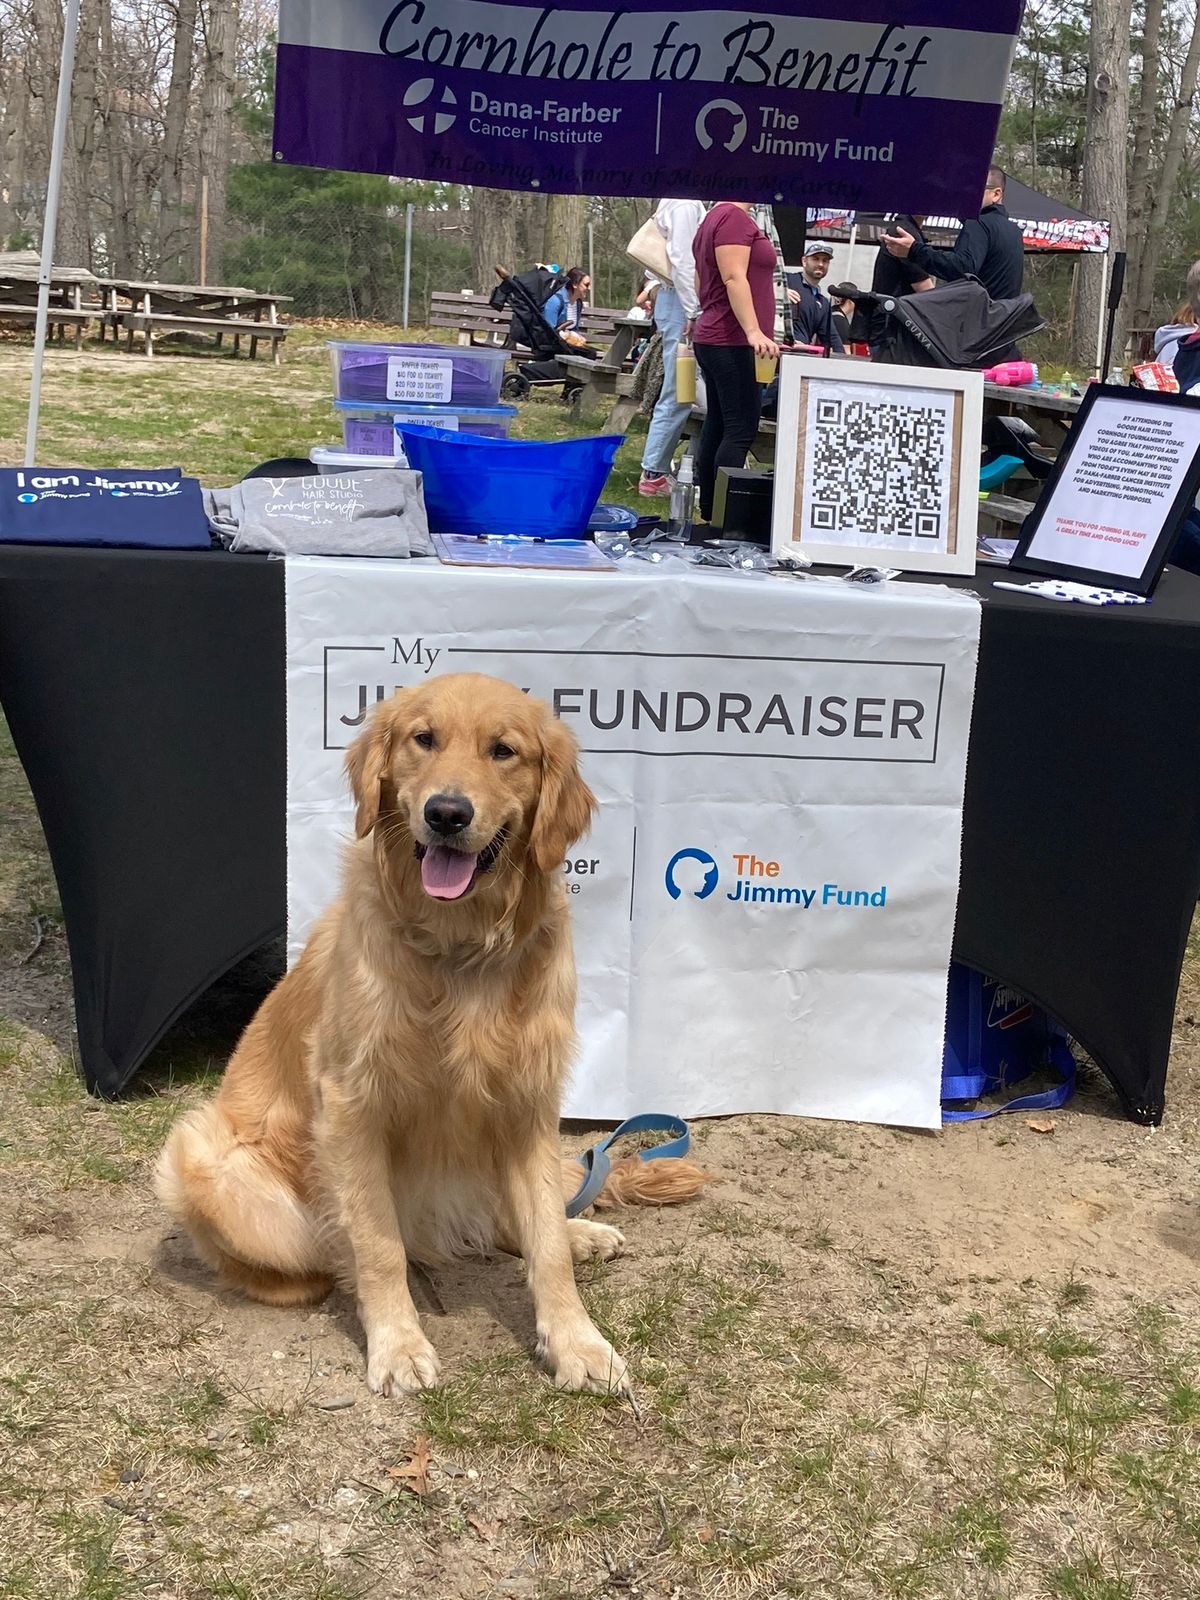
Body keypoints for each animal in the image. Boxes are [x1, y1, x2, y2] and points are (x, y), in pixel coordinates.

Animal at [156, 668, 710, 1395]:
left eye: (503, 751)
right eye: (424, 739)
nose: (448, 813)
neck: (460, 946)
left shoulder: (528, 1104)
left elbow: (543, 1243)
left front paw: (576, 1341)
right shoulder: (353, 1108)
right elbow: (377, 1246)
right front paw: (396, 1344)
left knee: (520, 1220)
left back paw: (579, 1232)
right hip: (196, 1153)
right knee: (322, 1253)